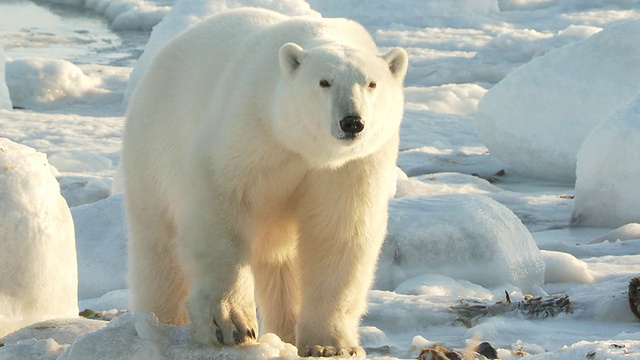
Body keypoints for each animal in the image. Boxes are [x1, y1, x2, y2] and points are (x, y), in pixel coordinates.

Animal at [122, 7, 408, 358]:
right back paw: (158, 324)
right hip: (153, 150)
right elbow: (221, 210)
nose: (352, 122)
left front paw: (330, 345)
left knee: (279, 265)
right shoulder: (250, 132)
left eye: (372, 83)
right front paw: (231, 325)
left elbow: (338, 231)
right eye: (324, 81)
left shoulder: (353, 166)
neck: (303, 148)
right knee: (158, 249)